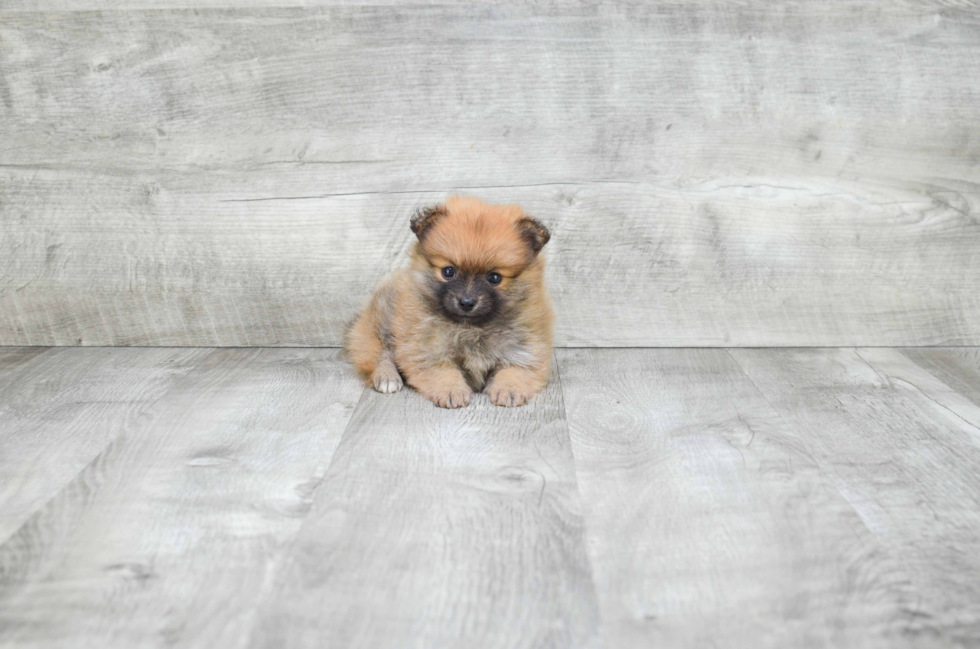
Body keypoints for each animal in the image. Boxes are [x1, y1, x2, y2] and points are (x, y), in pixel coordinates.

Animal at [346, 192, 556, 408]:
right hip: (381, 321)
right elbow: (443, 371)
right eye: (448, 271)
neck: (471, 328)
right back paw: (387, 378)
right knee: (379, 353)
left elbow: (515, 370)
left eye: (494, 278)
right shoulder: (427, 349)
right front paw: (451, 391)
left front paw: (509, 390)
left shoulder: (524, 349)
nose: (467, 302)